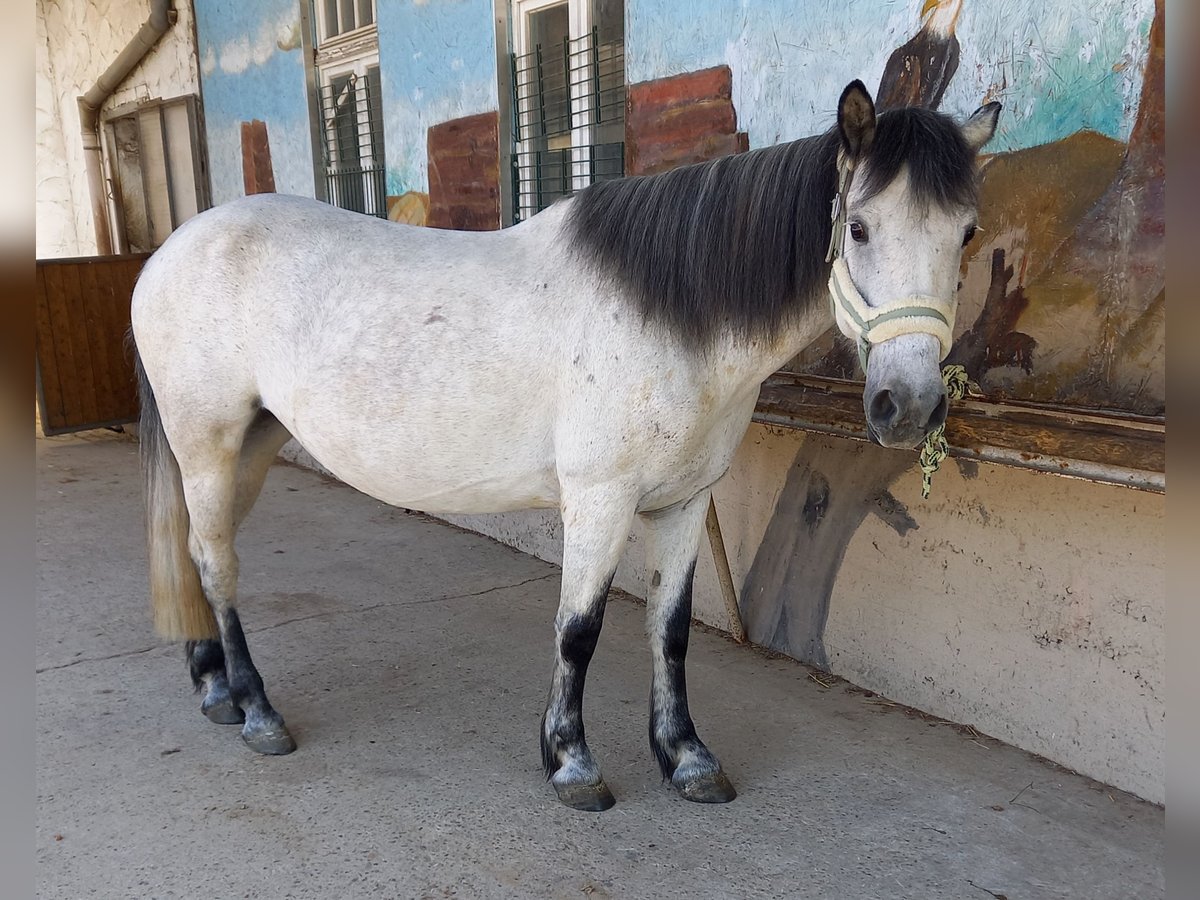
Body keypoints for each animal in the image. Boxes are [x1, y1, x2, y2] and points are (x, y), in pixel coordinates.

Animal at [131, 80, 999, 812]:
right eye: (859, 227)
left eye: (965, 233)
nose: (907, 407)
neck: (668, 316)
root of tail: (166, 254)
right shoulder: (599, 498)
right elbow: (579, 629)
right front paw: (572, 763)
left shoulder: (685, 503)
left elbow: (670, 632)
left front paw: (687, 758)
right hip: (208, 446)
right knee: (218, 566)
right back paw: (257, 711)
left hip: (248, 446)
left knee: (198, 553)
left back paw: (215, 690)